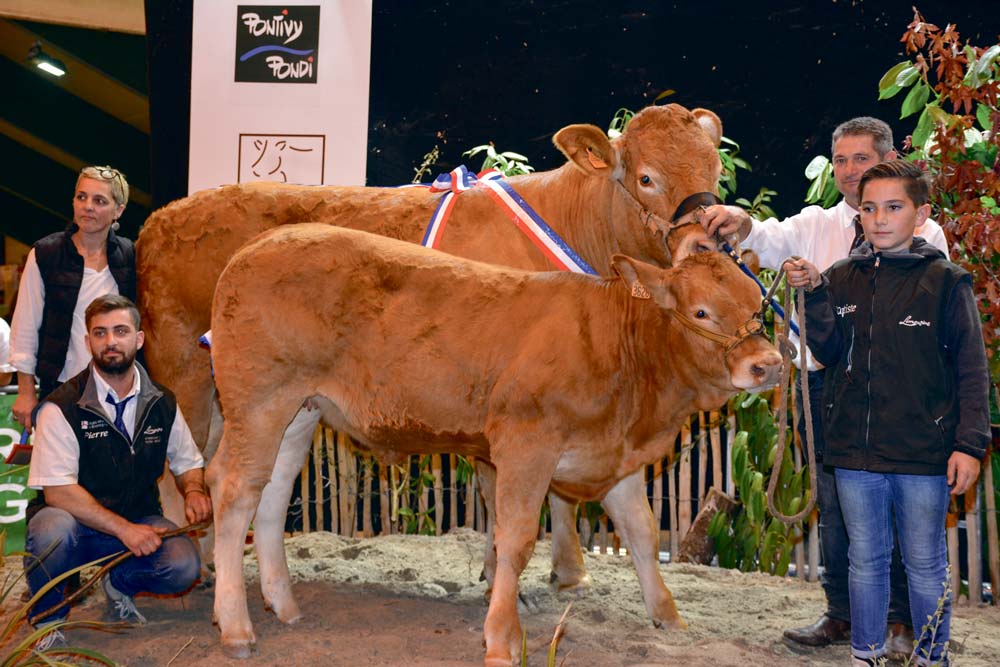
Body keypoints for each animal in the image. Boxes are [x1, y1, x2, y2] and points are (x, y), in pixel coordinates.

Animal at [137, 103, 724, 588]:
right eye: (646, 178)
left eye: (714, 170)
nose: (707, 242)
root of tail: (161, 218)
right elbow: (499, 490)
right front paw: (499, 571)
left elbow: (560, 493)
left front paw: (568, 571)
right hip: (182, 373)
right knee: (178, 470)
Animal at [207, 223, 784, 664]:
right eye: (702, 311)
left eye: (758, 306)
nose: (770, 364)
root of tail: (255, 246)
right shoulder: (527, 444)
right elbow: (517, 539)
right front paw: (502, 638)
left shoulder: (614, 457)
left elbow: (641, 533)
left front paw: (669, 617)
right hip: (259, 403)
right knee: (234, 491)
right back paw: (236, 627)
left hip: (299, 412)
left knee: (272, 494)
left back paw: (283, 605)